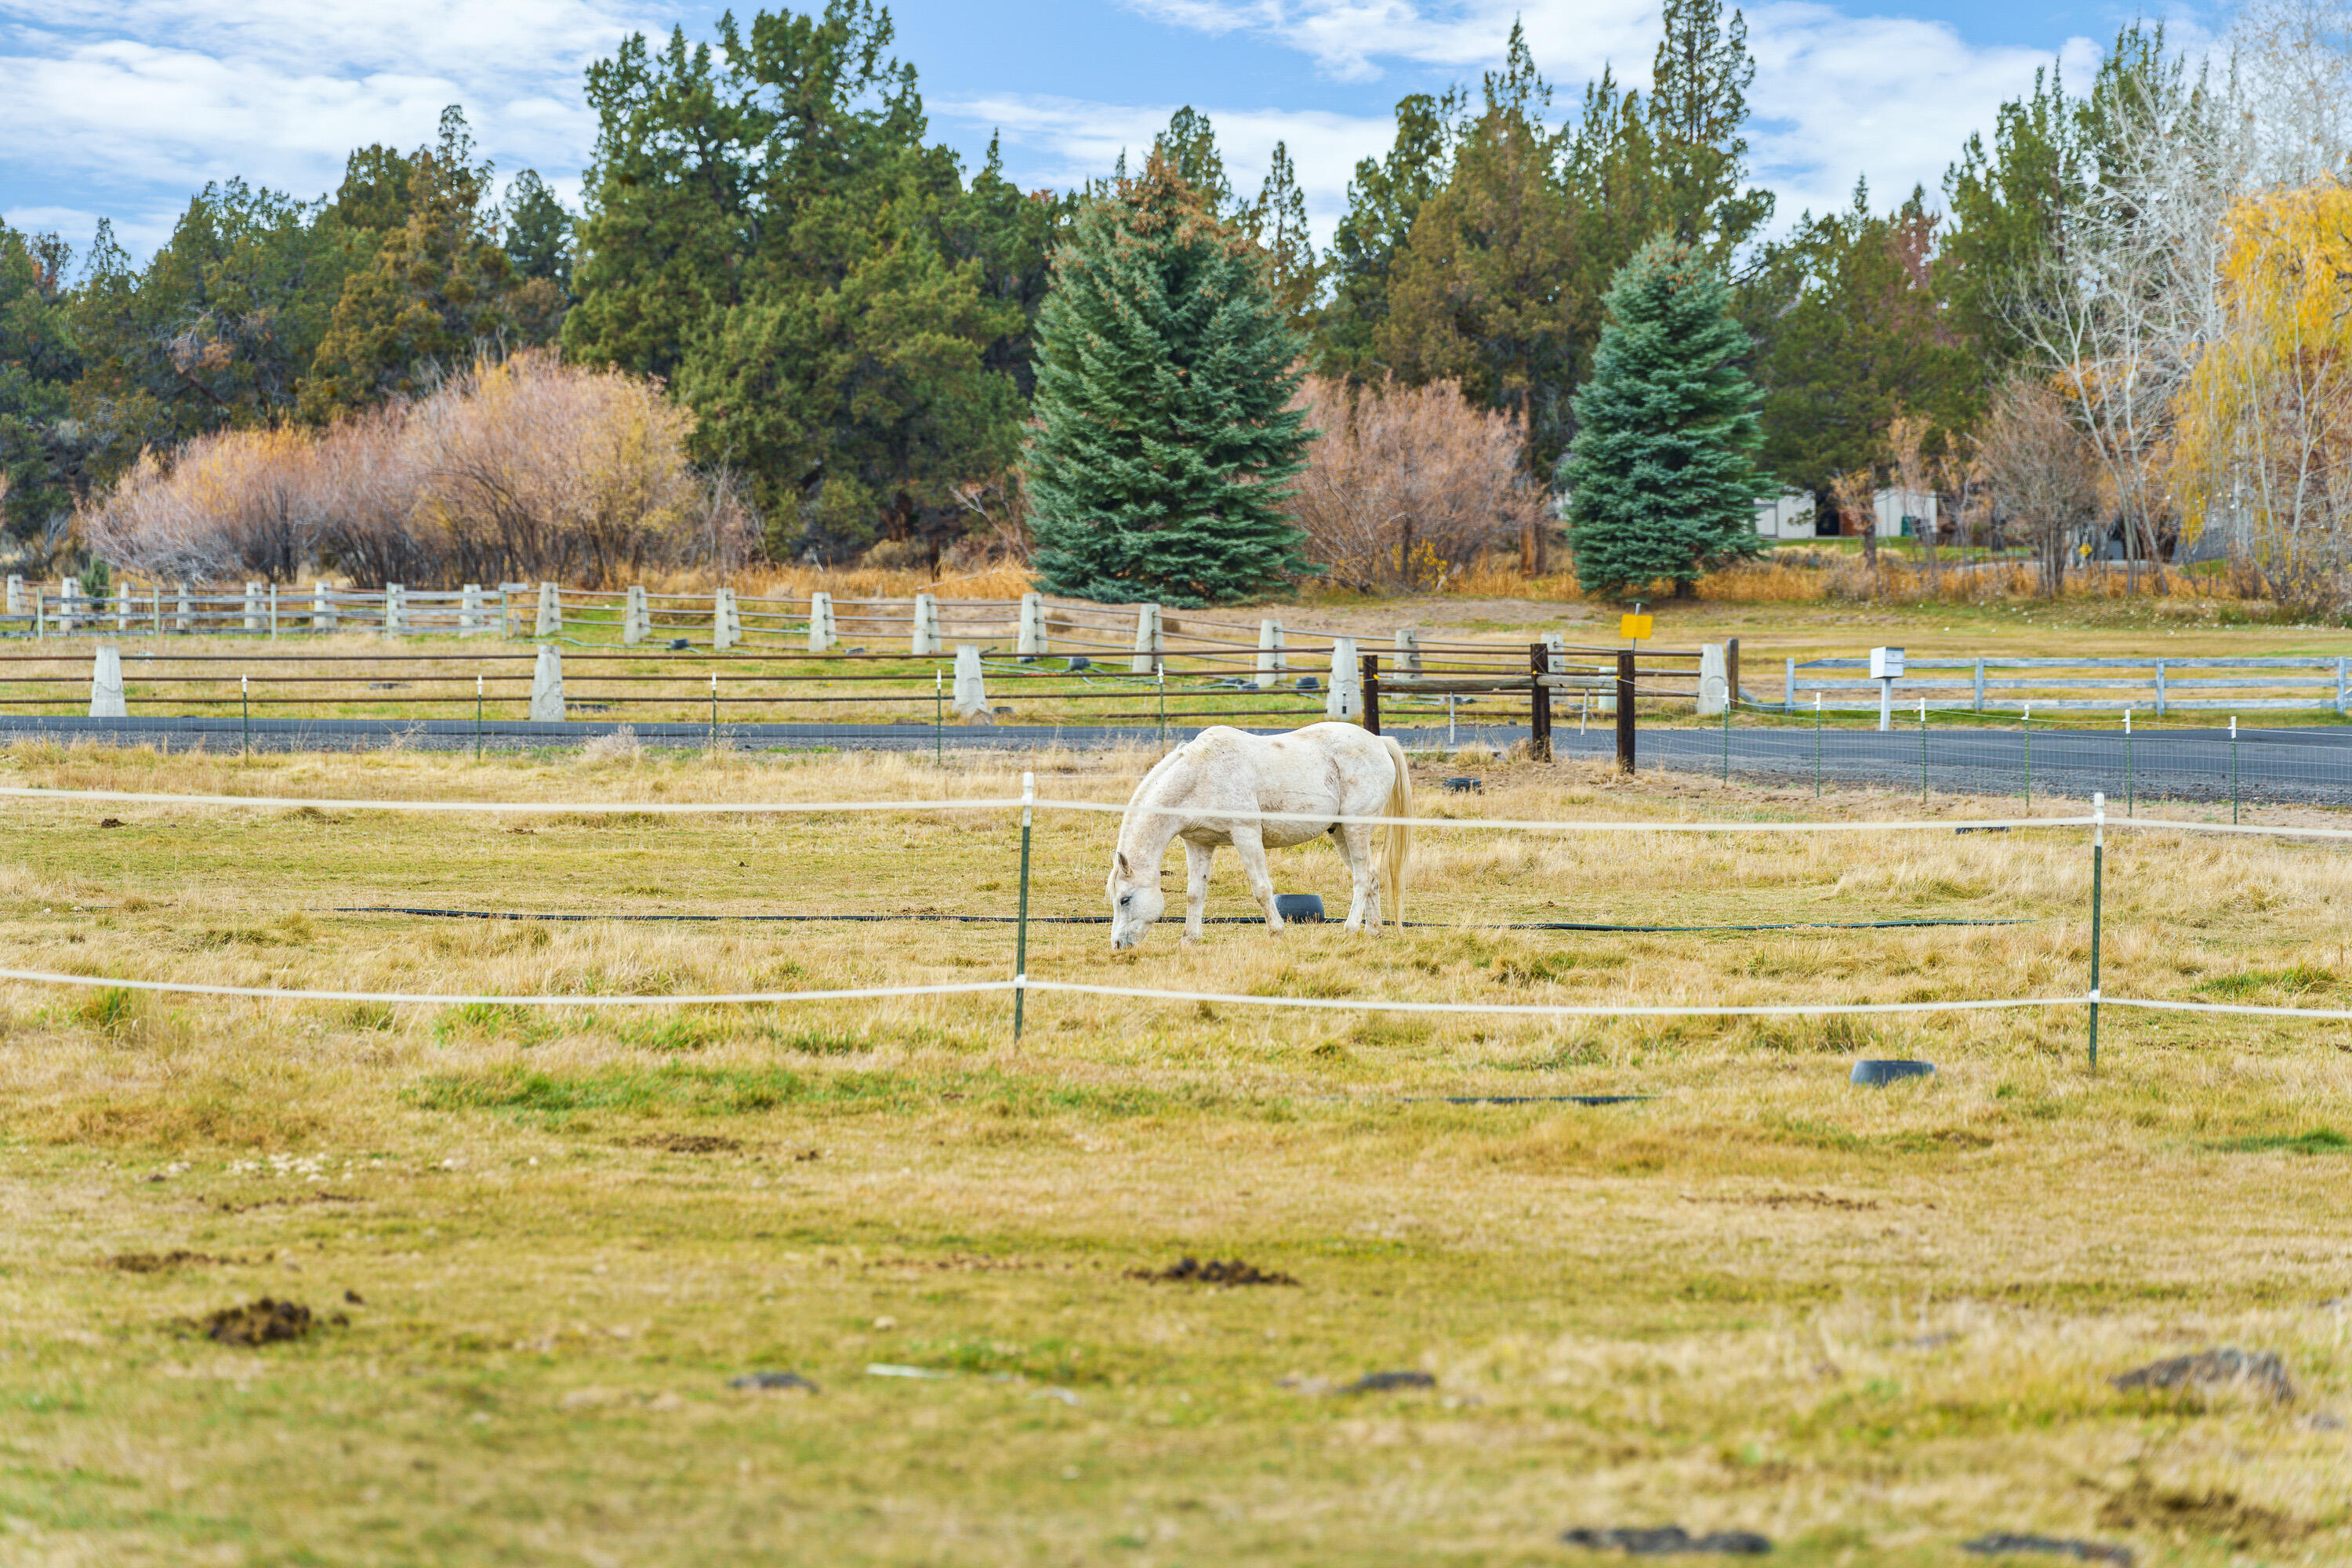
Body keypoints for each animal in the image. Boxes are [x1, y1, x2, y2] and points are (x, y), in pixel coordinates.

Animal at [1105, 723, 1413, 949]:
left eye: (1125, 900)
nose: (1118, 945)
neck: (1200, 775)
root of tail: (1378, 741)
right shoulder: (1198, 843)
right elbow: (1195, 893)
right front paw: (1189, 939)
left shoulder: (1246, 835)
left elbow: (1262, 889)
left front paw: (1277, 932)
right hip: (1340, 833)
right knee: (1371, 877)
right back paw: (1373, 932)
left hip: (1355, 828)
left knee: (1362, 878)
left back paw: (1349, 930)